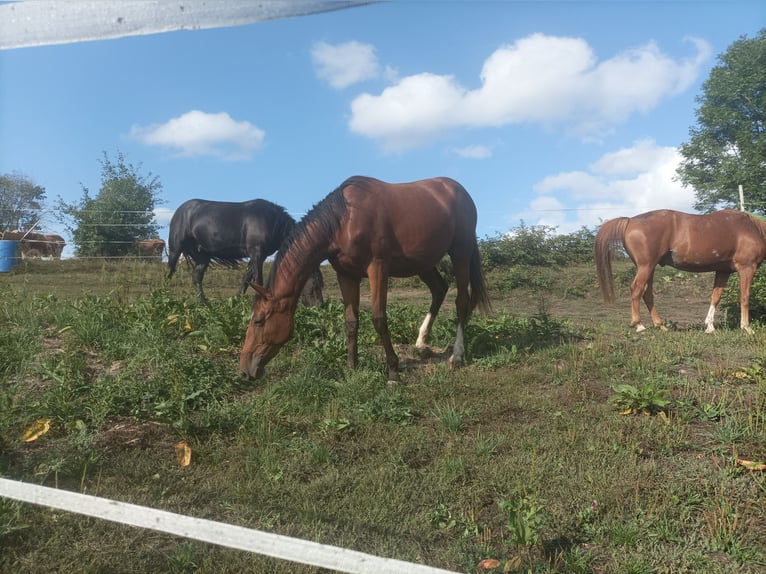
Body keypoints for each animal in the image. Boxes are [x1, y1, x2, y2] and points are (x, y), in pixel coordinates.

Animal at [168, 199, 324, 306]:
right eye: (315, 284)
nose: (320, 306)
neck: (272, 221)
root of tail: (181, 209)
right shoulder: (257, 253)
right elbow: (258, 280)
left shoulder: (258, 256)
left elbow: (246, 278)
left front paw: (237, 300)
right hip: (175, 249)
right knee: (170, 272)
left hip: (202, 256)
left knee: (196, 277)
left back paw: (203, 302)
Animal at [238, 176, 492, 382]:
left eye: (258, 320)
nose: (244, 369)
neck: (343, 221)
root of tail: (460, 191)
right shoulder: (346, 275)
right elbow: (351, 321)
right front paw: (352, 366)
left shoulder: (377, 268)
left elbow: (379, 318)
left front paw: (393, 371)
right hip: (424, 263)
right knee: (439, 290)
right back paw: (421, 342)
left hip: (460, 252)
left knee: (461, 302)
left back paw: (457, 356)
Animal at [596, 209, 766, 336]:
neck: (753, 229)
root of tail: (630, 220)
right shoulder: (747, 268)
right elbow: (745, 297)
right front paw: (746, 327)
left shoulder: (723, 271)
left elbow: (715, 297)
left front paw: (710, 327)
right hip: (646, 266)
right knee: (637, 289)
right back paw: (639, 325)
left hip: (650, 267)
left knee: (647, 293)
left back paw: (660, 325)